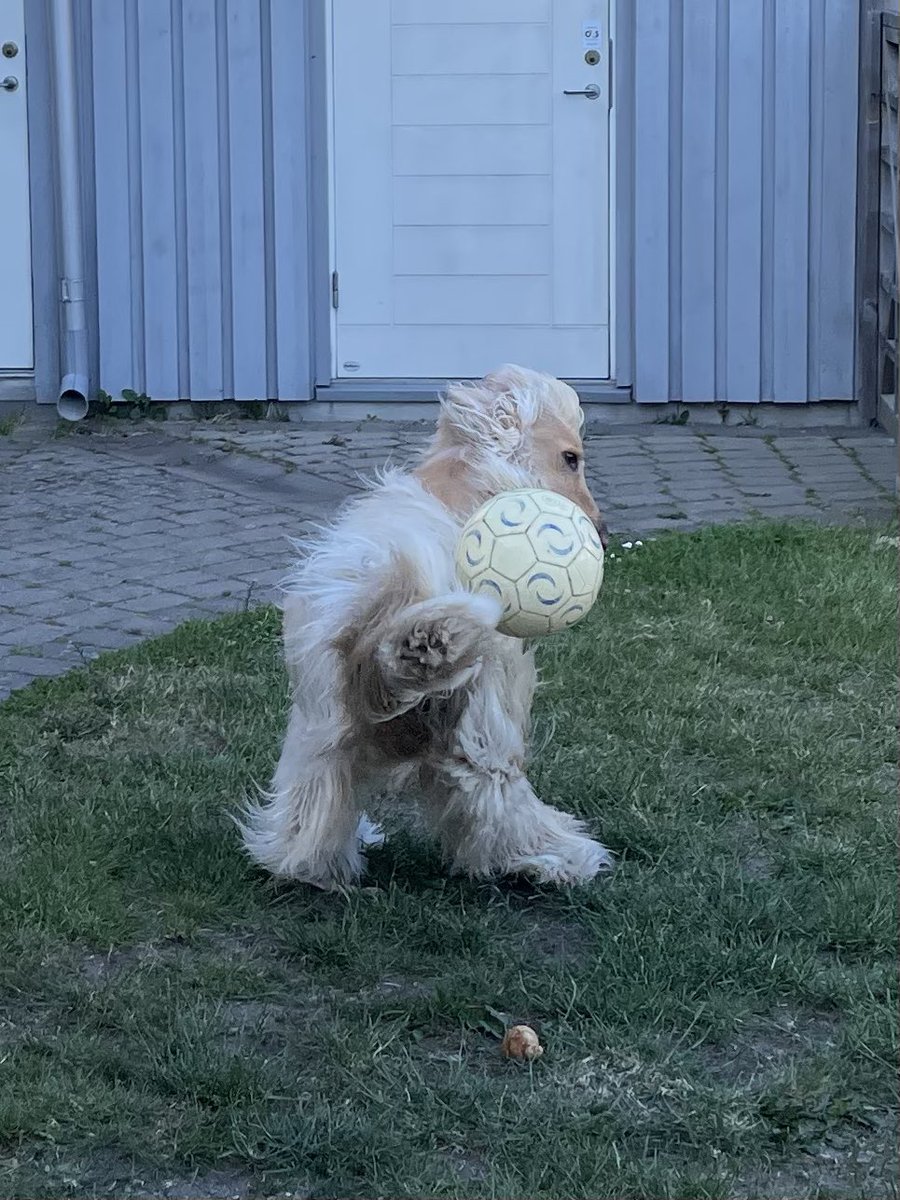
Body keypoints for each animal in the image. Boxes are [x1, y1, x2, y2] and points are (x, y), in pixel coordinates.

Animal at [243, 364, 619, 892]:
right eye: (571, 458)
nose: (603, 536)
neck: (463, 481)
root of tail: (376, 644)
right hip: (480, 717)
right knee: (490, 792)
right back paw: (556, 856)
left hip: (319, 727)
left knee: (313, 810)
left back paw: (312, 865)